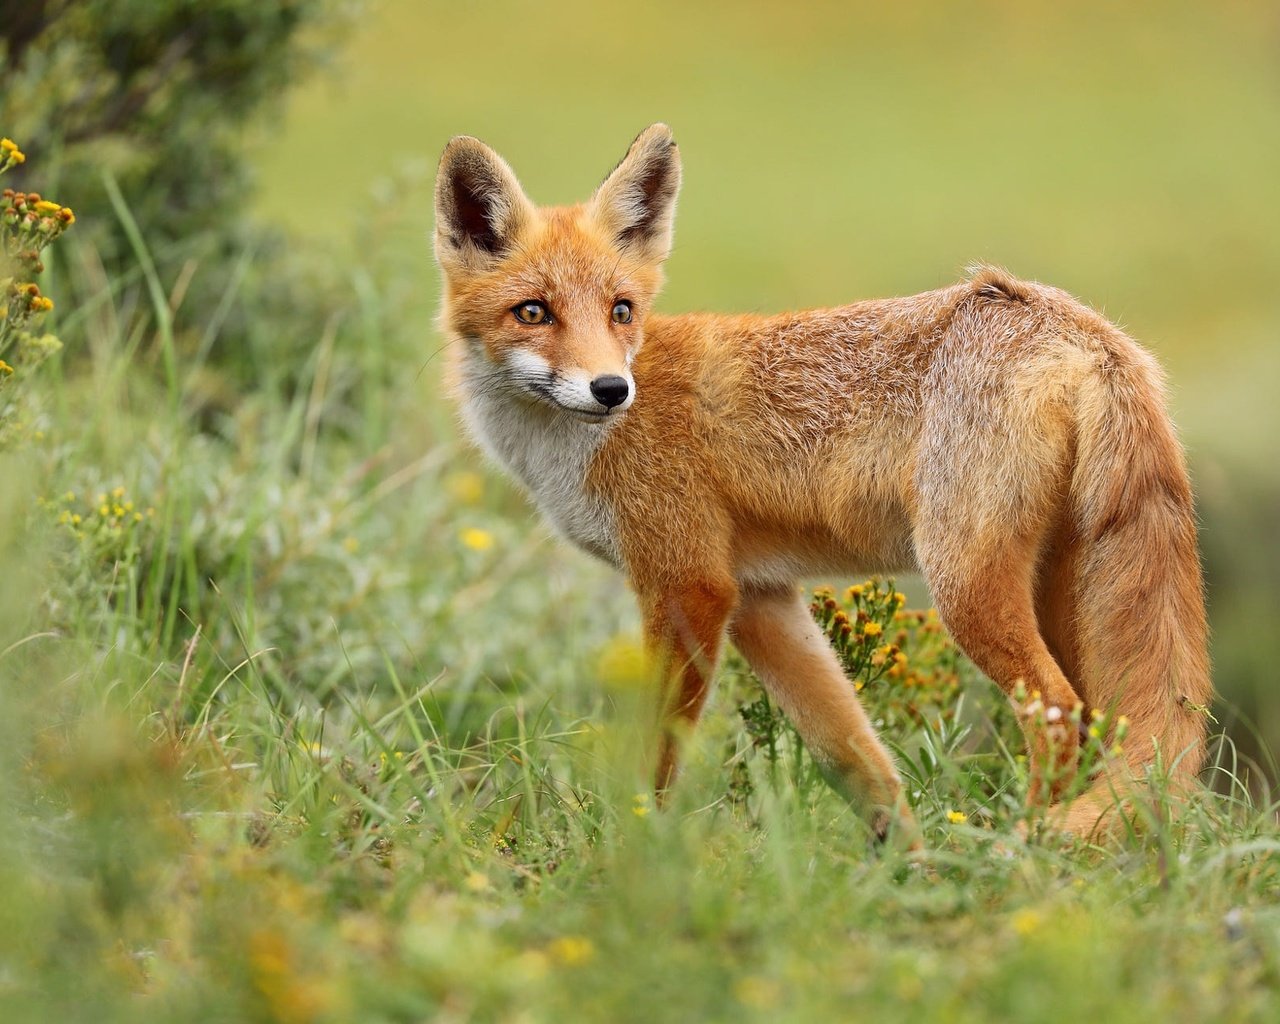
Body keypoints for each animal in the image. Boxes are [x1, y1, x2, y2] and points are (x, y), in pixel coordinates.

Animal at [430, 124, 1208, 844]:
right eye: (534, 312)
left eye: (621, 310)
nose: (610, 389)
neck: (583, 447)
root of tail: (1081, 326)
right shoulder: (758, 597)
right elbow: (854, 757)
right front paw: (906, 862)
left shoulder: (687, 584)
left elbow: (656, 756)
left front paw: (629, 848)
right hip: (1060, 590)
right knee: (1098, 721)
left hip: (964, 583)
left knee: (1057, 712)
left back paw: (1030, 846)